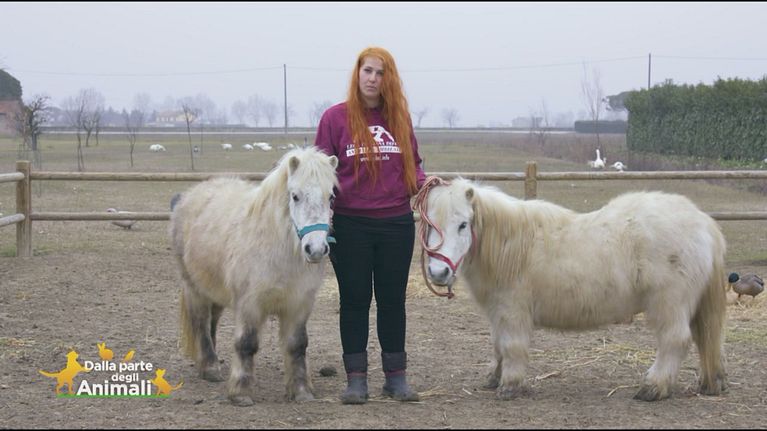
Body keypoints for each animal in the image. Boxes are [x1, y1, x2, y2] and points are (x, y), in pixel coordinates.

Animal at [169, 146, 338, 406]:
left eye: (330, 198)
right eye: (295, 196)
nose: (316, 249)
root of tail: (189, 196)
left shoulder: (299, 305)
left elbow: (297, 345)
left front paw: (301, 391)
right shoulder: (250, 304)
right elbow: (246, 343)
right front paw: (241, 392)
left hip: (215, 292)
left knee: (212, 323)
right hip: (194, 289)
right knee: (201, 323)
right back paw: (209, 367)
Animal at [415, 178, 728, 402]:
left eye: (462, 224)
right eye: (429, 225)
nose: (439, 273)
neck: (511, 246)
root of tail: (703, 223)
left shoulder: (513, 311)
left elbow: (512, 346)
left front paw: (510, 385)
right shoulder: (498, 312)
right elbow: (498, 346)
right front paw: (495, 378)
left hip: (669, 304)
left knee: (675, 340)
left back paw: (653, 387)